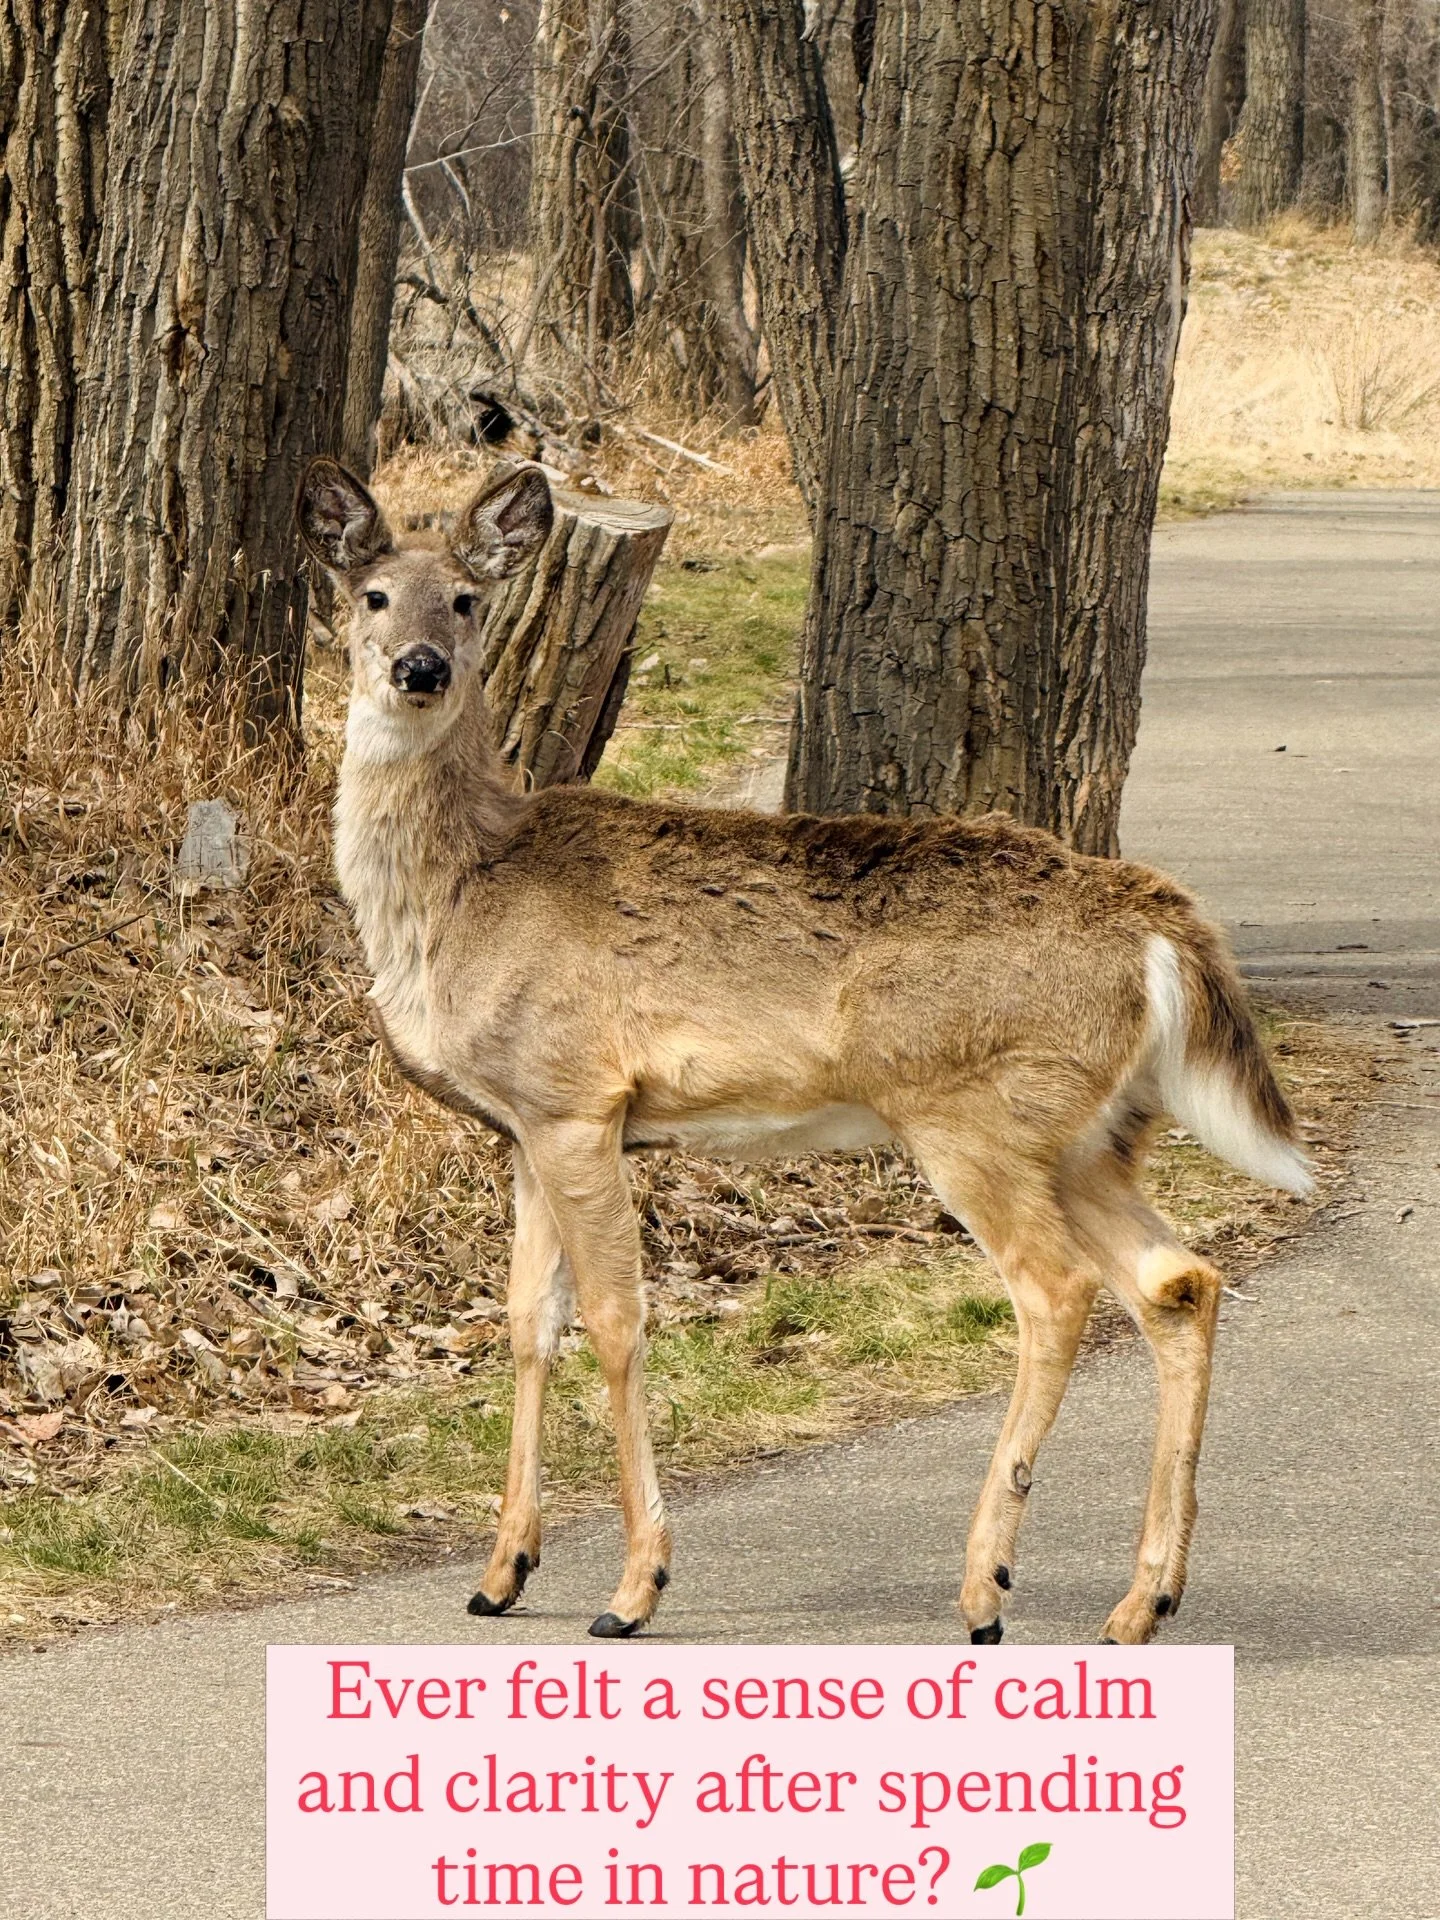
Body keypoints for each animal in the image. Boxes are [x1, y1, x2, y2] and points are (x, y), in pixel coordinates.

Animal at [297, 455, 1311, 1645]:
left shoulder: (579, 1099)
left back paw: (987, 1588)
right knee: (1179, 1281)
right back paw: (1142, 1599)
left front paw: (634, 1588)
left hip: (977, 1113)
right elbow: (525, 1326)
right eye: (373, 594)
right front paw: (502, 1571)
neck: (461, 892)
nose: (419, 667)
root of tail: (1159, 922)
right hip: (1090, 1134)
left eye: (464, 599)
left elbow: (616, 1320)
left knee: (1057, 1290)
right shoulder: (522, 1126)